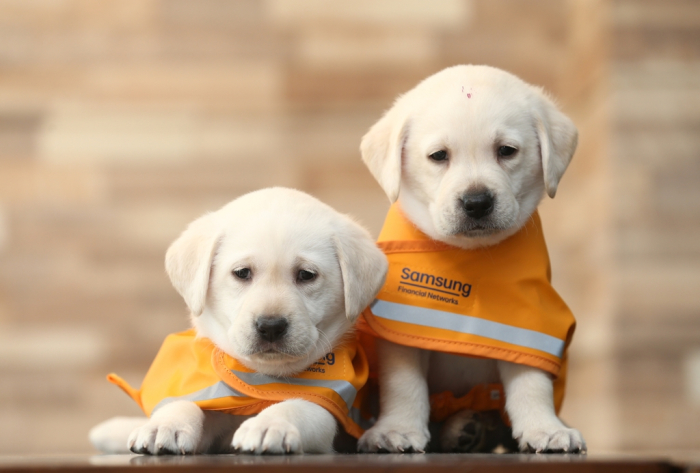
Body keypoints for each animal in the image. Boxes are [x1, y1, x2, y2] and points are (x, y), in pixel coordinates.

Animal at [87, 187, 388, 454]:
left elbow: (297, 404)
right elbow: (187, 402)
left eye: (306, 275)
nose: (270, 327)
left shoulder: (330, 407)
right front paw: (165, 425)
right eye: (242, 272)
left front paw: (269, 424)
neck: (259, 375)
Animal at [356, 64, 584, 452]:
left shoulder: (530, 322)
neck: (469, 257)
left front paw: (543, 428)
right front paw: (397, 429)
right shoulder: (401, 330)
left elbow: (531, 381)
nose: (477, 203)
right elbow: (404, 383)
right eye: (439, 156)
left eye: (506, 150)